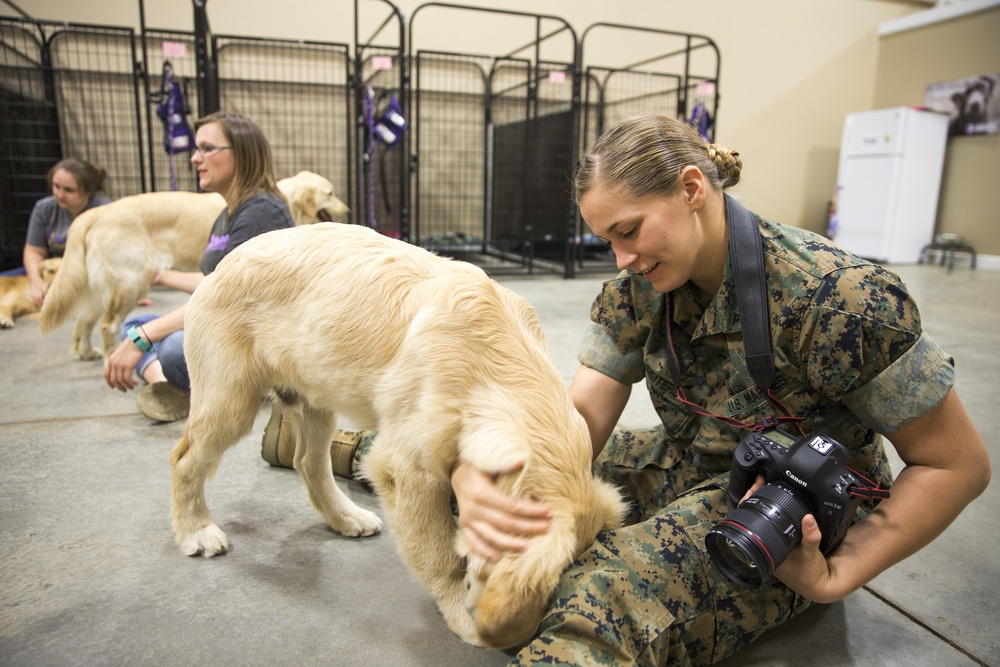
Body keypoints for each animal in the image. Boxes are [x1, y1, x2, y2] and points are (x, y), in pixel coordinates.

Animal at [39, 172, 348, 360]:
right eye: (330, 193)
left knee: (85, 318)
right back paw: (109, 357)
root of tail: (96, 212)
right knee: (107, 325)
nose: (347, 210)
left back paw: (85, 352)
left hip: (100, 285)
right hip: (131, 281)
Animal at [172, 223, 624, 648]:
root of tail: (223, 263)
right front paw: (460, 612)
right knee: (184, 460)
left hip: (318, 397)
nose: (513, 637)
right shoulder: (407, 470)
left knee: (308, 463)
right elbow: (440, 553)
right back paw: (196, 531)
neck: (496, 366)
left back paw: (346, 517)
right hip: (230, 401)